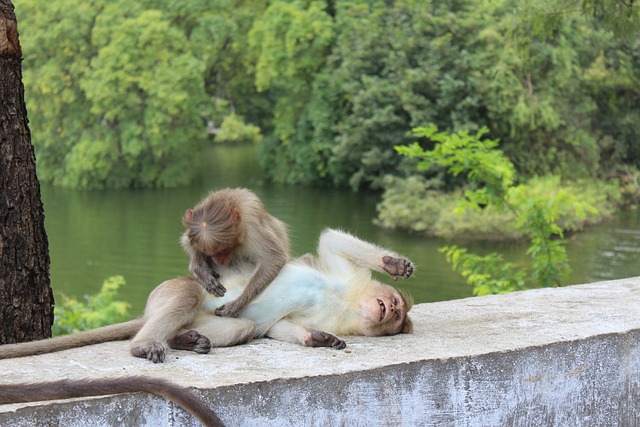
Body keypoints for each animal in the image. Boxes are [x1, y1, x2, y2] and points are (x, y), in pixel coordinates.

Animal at [0, 229, 416, 362]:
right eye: (396, 307)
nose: (392, 311)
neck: (348, 303)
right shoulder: (342, 275)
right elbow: (331, 241)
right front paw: (394, 263)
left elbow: (280, 326)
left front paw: (318, 338)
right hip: (169, 290)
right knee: (187, 295)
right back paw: (146, 343)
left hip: (203, 317)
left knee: (243, 327)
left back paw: (182, 339)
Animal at [180, 188, 290, 318]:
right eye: (211, 253)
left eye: (224, 250)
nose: (219, 260)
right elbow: (188, 241)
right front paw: (203, 273)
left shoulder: (252, 223)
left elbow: (273, 258)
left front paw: (236, 304)